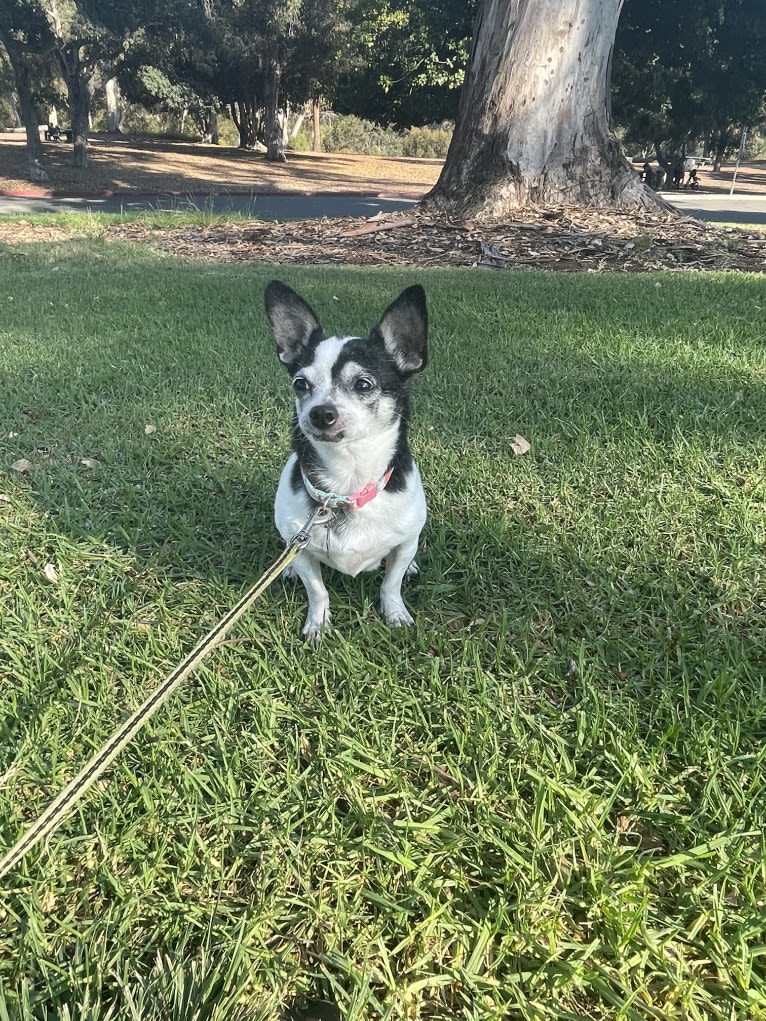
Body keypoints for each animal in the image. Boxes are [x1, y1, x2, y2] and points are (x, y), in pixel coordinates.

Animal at [267, 279, 428, 637]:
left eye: (363, 384)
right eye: (300, 384)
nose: (320, 413)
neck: (347, 483)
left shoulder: (403, 545)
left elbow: (390, 584)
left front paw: (395, 614)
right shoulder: (303, 552)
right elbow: (317, 590)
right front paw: (318, 624)